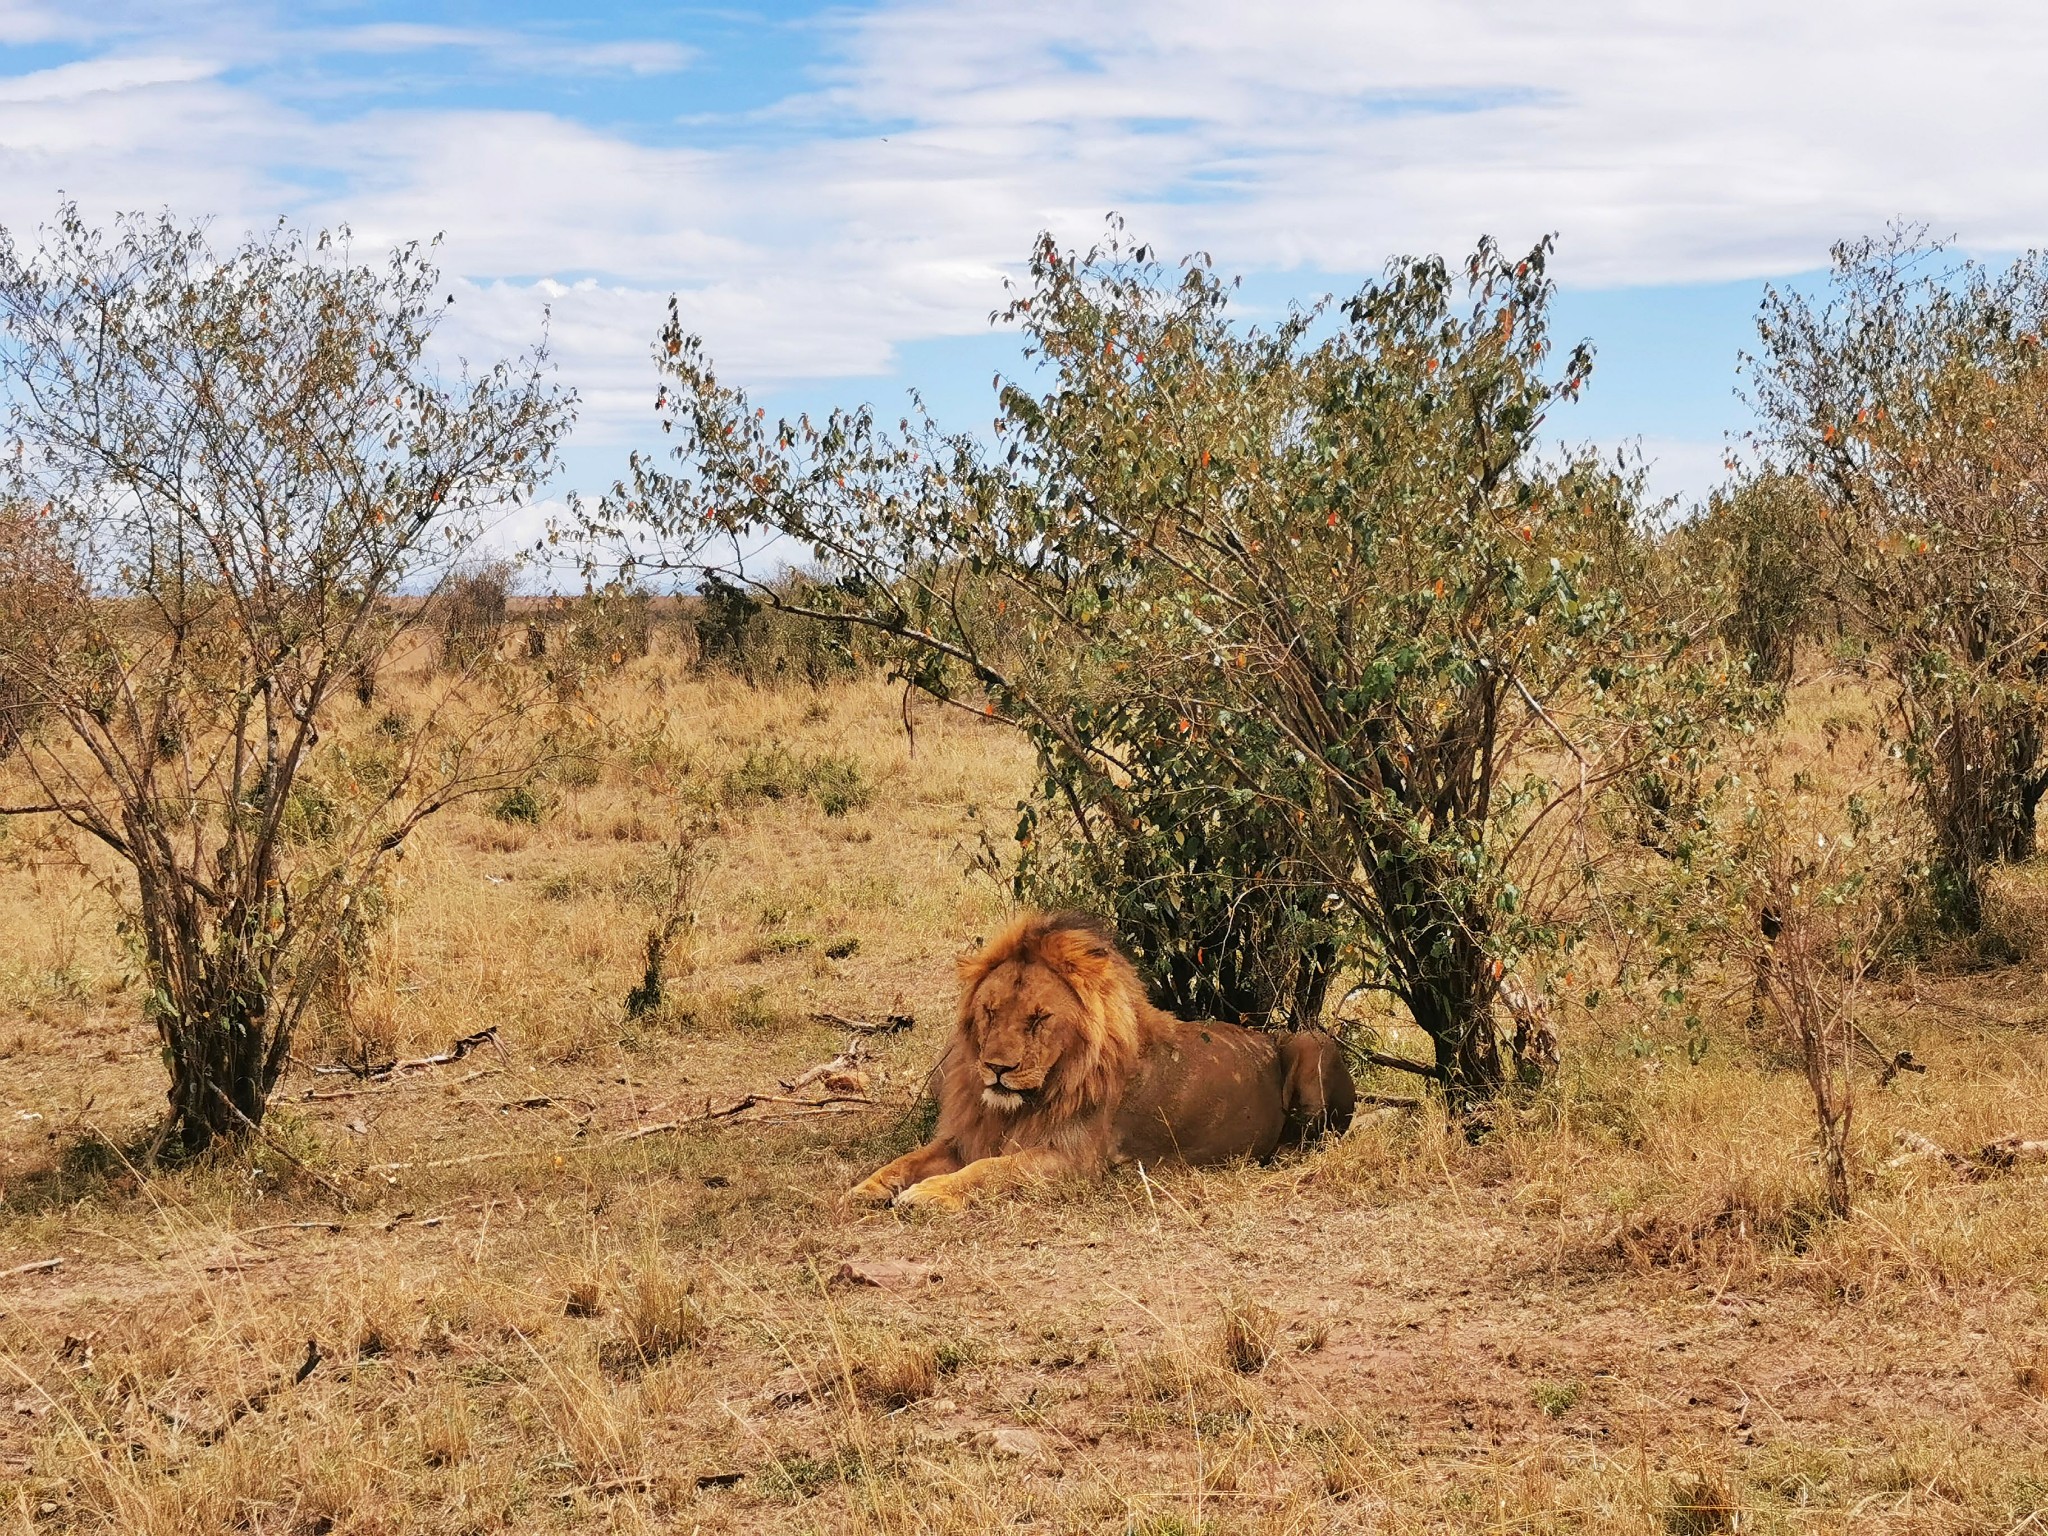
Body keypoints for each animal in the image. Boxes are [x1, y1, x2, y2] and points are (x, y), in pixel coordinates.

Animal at [839, 913, 1351, 1212]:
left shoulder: (1072, 1161)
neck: (1021, 1105)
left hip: (1314, 1044)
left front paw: (928, 1193)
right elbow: (906, 1159)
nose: (997, 1069)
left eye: (1039, 1018)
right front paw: (865, 1189)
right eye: (990, 1011)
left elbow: (989, 1171)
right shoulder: (967, 1136)